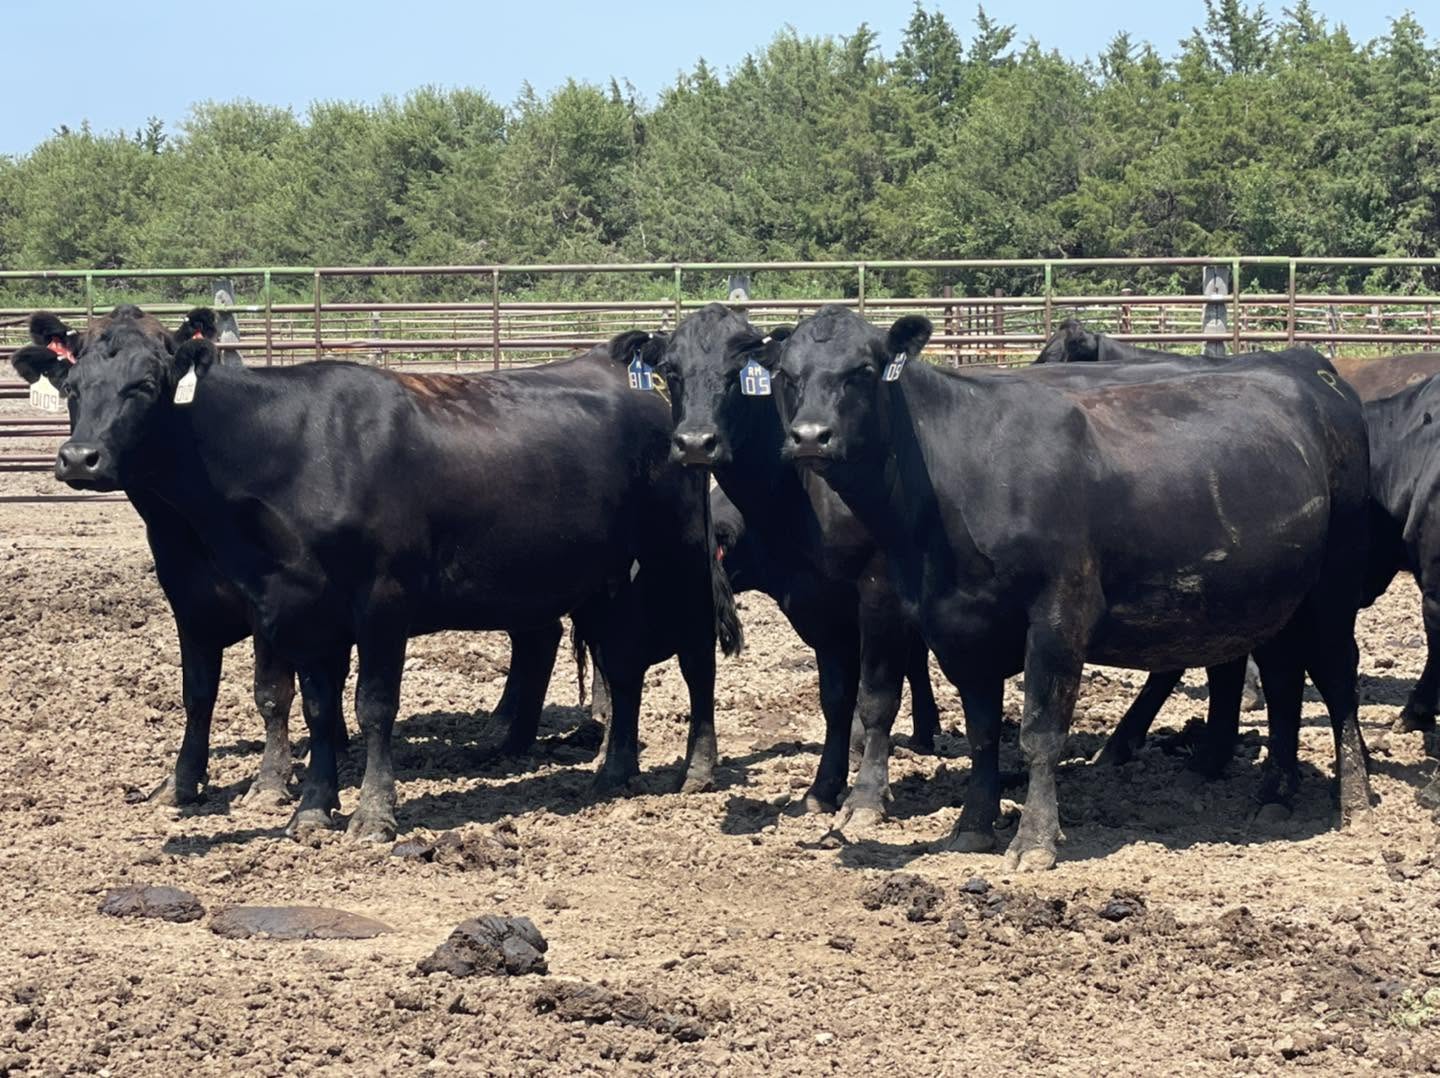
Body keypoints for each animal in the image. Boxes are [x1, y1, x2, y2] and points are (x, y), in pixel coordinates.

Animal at [41, 305, 737, 842]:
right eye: (72, 387)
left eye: (145, 384)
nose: (79, 458)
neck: (290, 448)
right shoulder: (297, 611)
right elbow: (315, 707)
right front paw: (311, 809)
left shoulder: (381, 601)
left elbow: (372, 705)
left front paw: (373, 814)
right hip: (604, 582)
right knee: (620, 666)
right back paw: (612, 772)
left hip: (677, 562)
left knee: (695, 658)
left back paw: (697, 770)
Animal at [614, 304, 939, 829]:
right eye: (671, 372)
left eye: (734, 374)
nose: (695, 443)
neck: (802, 496)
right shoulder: (818, 604)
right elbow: (836, 698)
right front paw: (822, 790)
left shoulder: (880, 593)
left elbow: (876, 698)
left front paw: (866, 797)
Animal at [734, 304, 1373, 870]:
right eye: (787, 375)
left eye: (863, 370)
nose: (810, 436)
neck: (958, 473)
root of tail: (1310, 371)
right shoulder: (959, 625)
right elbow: (983, 731)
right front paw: (972, 826)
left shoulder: (1060, 613)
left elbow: (1040, 733)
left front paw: (1034, 840)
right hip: (1277, 598)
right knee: (1286, 680)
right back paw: (1276, 794)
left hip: (1333, 587)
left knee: (1337, 677)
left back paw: (1355, 798)